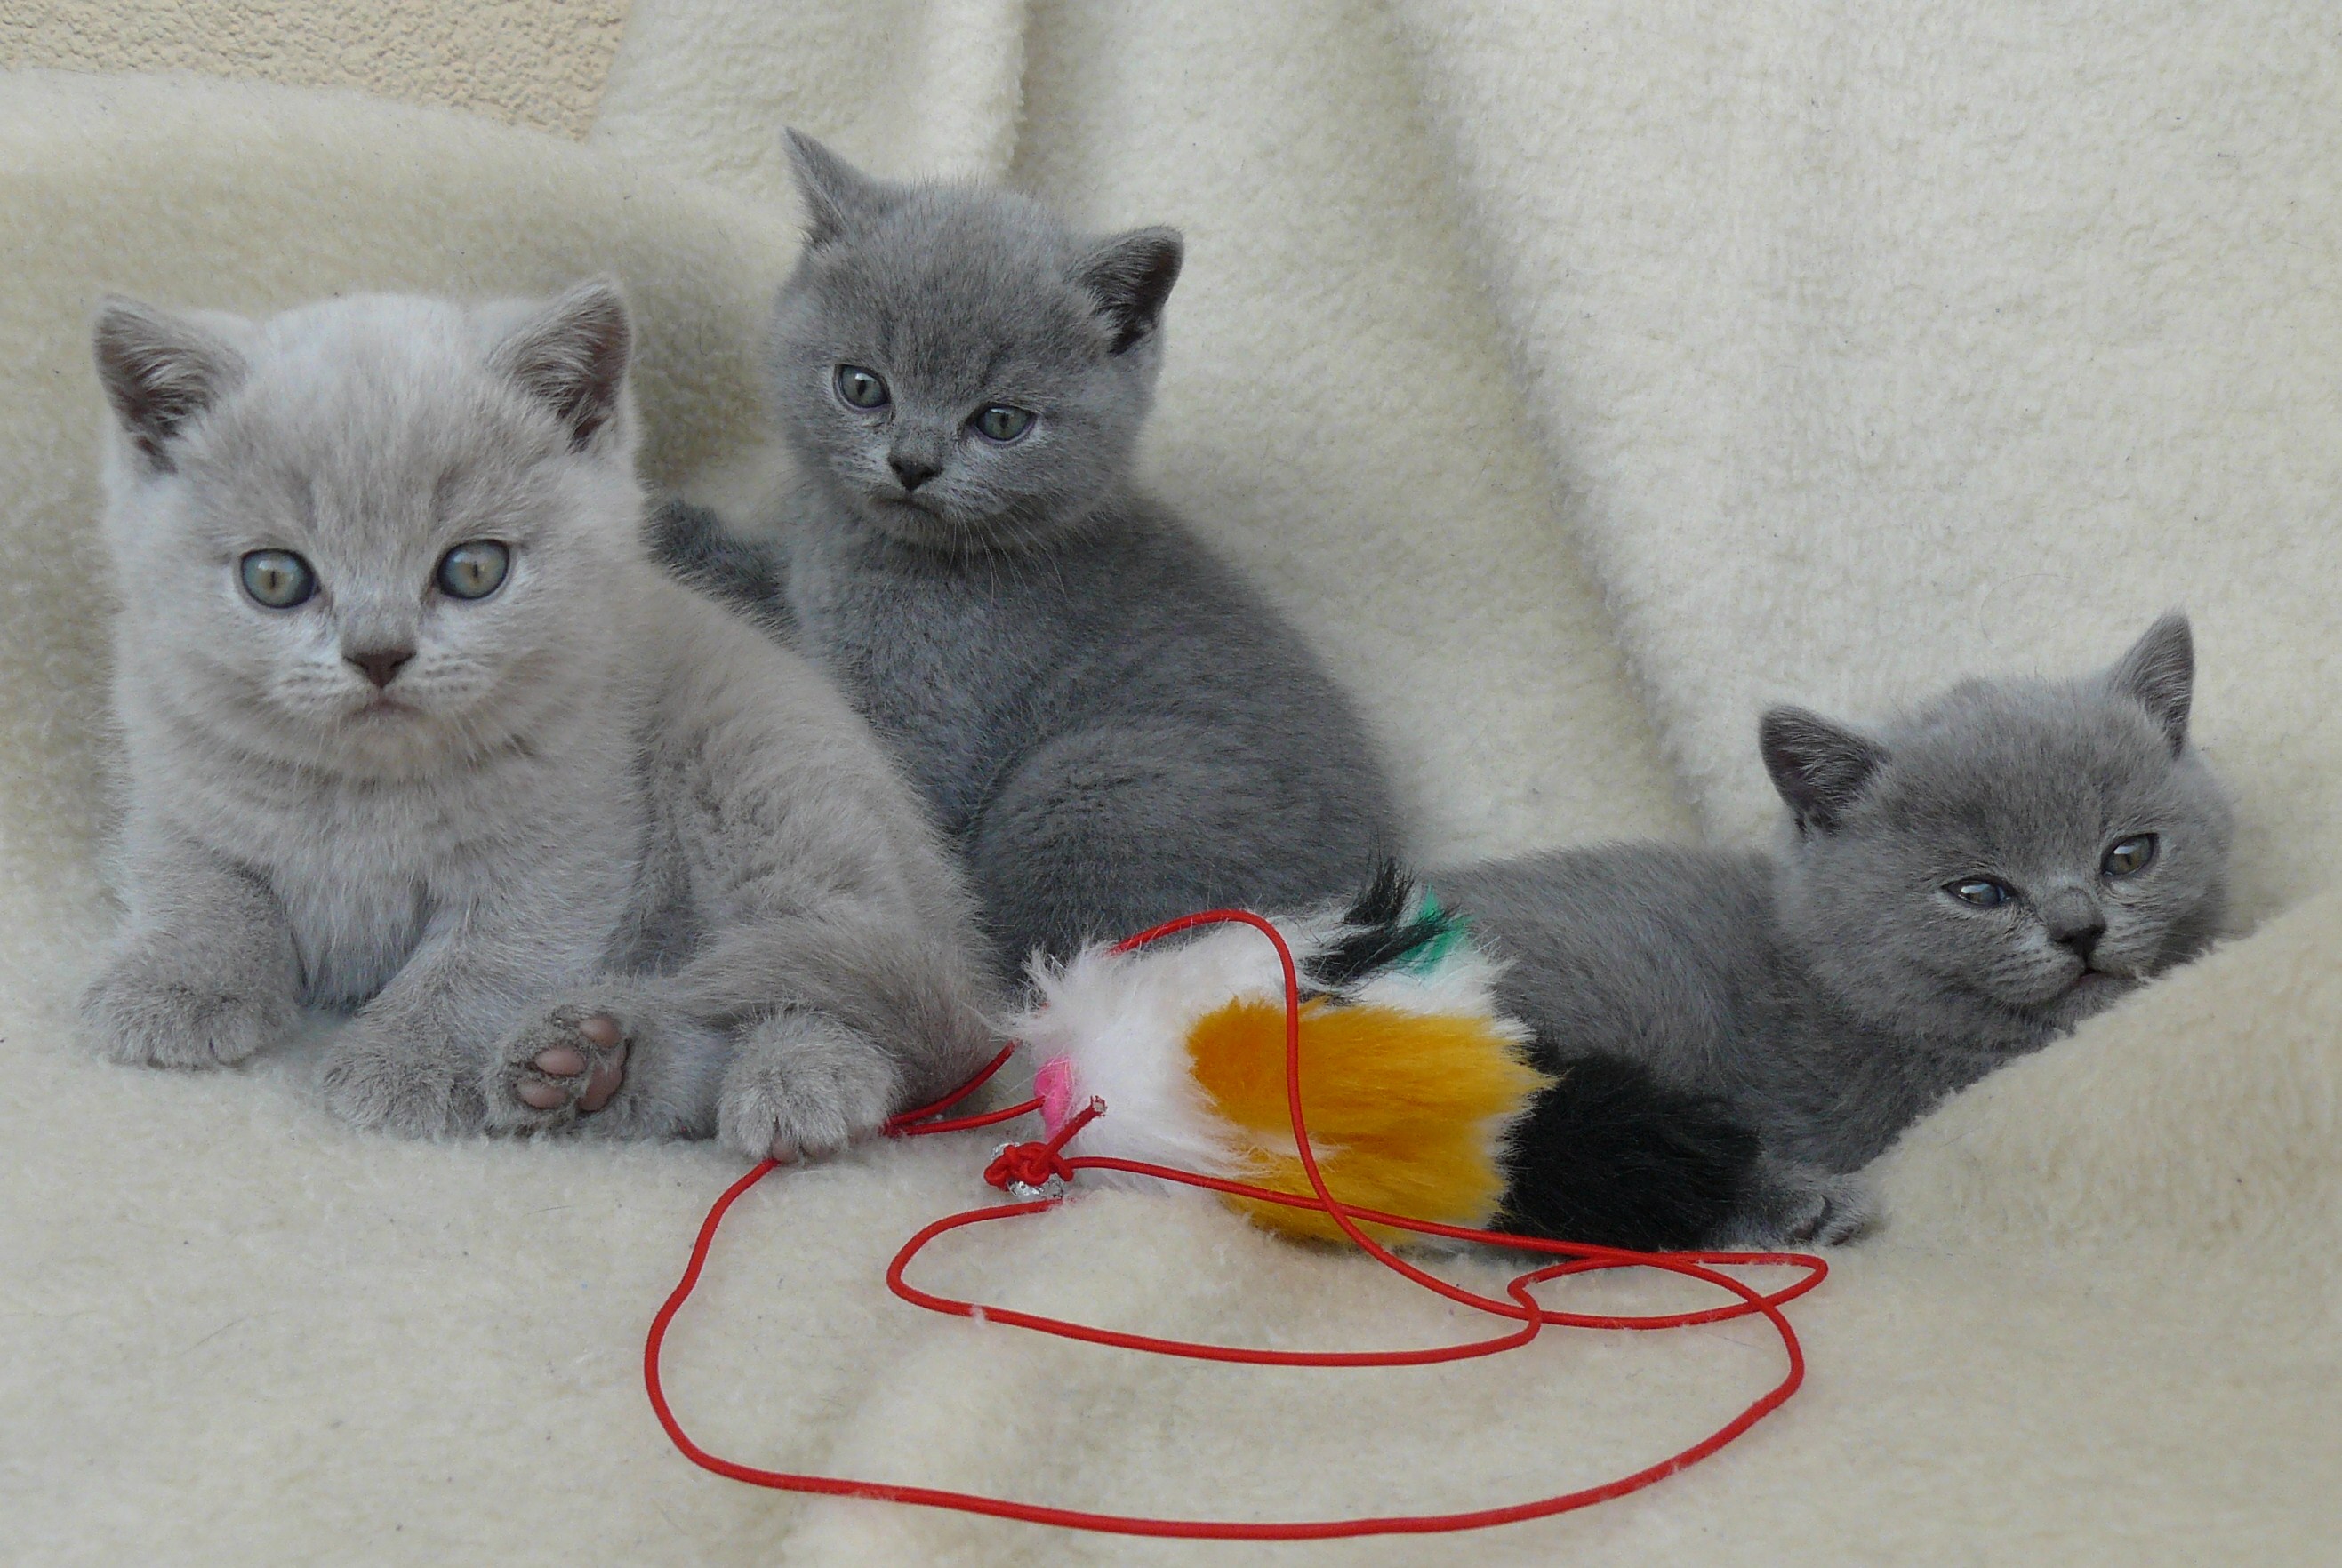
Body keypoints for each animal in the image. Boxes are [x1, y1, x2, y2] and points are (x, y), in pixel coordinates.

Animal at [80, 285, 998, 1165]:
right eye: (274, 577)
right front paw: (176, 988)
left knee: (825, 960)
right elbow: (201, 885)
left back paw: (797, 1080)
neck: (367, 785)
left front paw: (409, 1061)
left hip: (761, 775)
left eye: (472, 569)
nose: (378, 654)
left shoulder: (563, 846)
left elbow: (485, 959)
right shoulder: (174, 774)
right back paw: (590, 1064)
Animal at [651, 135, 1395, 978]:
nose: (912, 464)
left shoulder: (929, 713)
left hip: (1093, 786)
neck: (869, 551)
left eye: (1001, 422)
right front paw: (668, 526)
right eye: (862, 385)